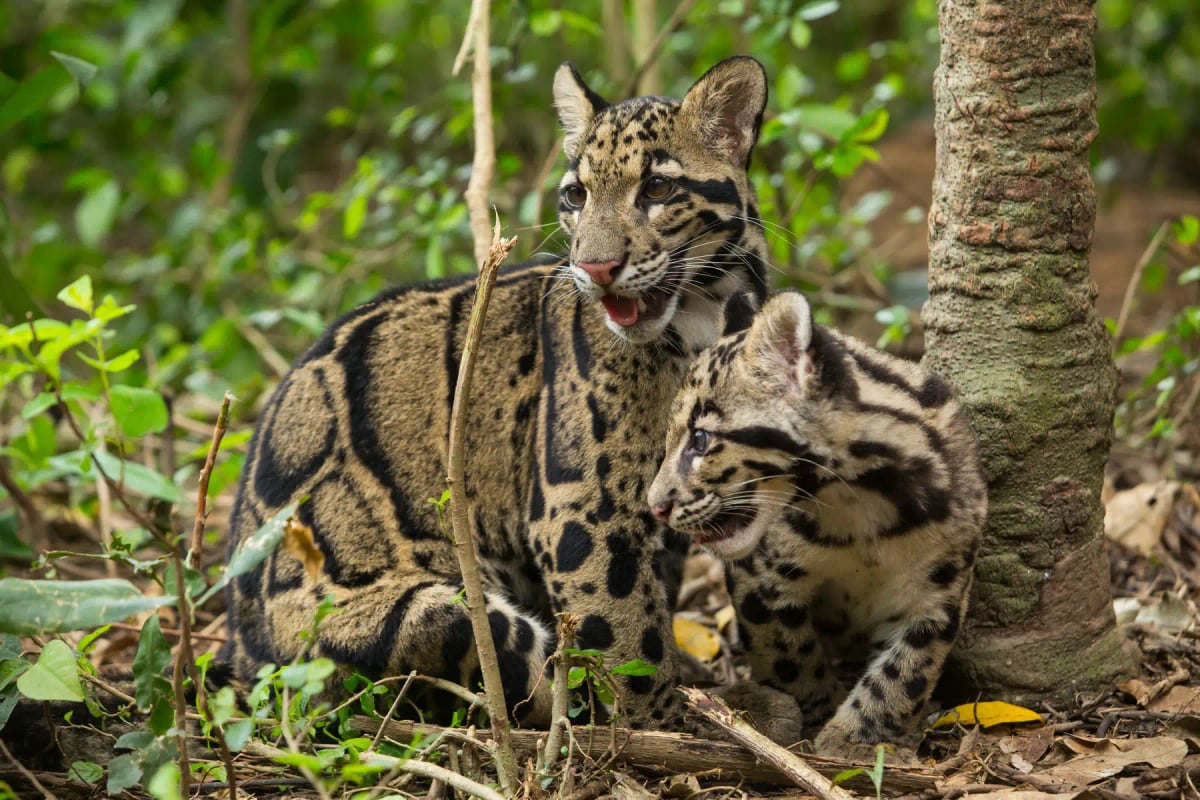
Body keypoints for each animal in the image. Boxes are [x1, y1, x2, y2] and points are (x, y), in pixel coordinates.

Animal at [222, 56, 773, 730]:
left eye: (659, 191)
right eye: (576, 196)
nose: (594, 268)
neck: (704, 315)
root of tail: (244, 652)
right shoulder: (583, 509)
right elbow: (626, 638)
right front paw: (661, 728)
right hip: (422, 616)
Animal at [647, 291, 987, 757]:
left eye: (700, 440)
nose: (654, 505)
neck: (859, 506)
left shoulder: (941, 591)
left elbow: (907, 669)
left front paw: (860, 740)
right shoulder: (761, 581)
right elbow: (787, 652)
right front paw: (817, 712)